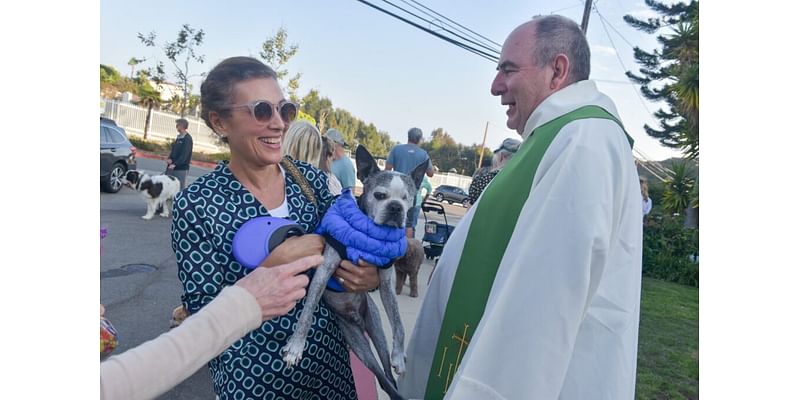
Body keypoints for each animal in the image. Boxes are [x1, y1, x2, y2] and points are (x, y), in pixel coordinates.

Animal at [282, 145, 428, 398]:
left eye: (406, 199)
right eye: (379, 195)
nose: (396, 208)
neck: (368, 235)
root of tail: (357, 320)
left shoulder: (386, 284)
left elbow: (399, 323)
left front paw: (399, 356)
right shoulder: (324, 270)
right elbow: (308, 311)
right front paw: (296, 347)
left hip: (375, 328)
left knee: (386, 372)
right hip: (359, 344)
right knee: (380, 376)